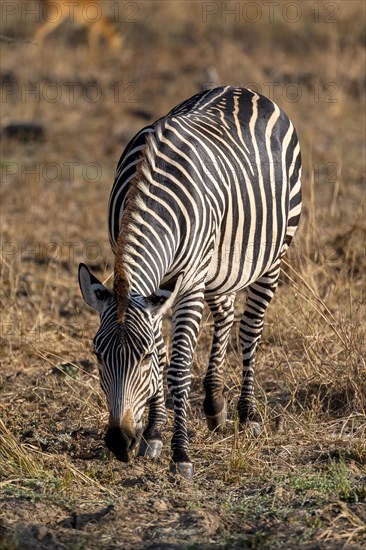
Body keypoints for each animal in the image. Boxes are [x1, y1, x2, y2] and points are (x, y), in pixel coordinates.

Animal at [79, 86, 304, 478]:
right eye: (97, 354)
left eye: (142, 356)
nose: (120, 442)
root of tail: (243, 89)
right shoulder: (157, 290)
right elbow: (165, 359)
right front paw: (153, 433)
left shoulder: (187, 286)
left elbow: (178, 366)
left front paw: (180, 453)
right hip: (219, 271)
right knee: (226, 315)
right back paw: (215, 405)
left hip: (272, 256)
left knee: (250, 329)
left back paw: (248, 414)